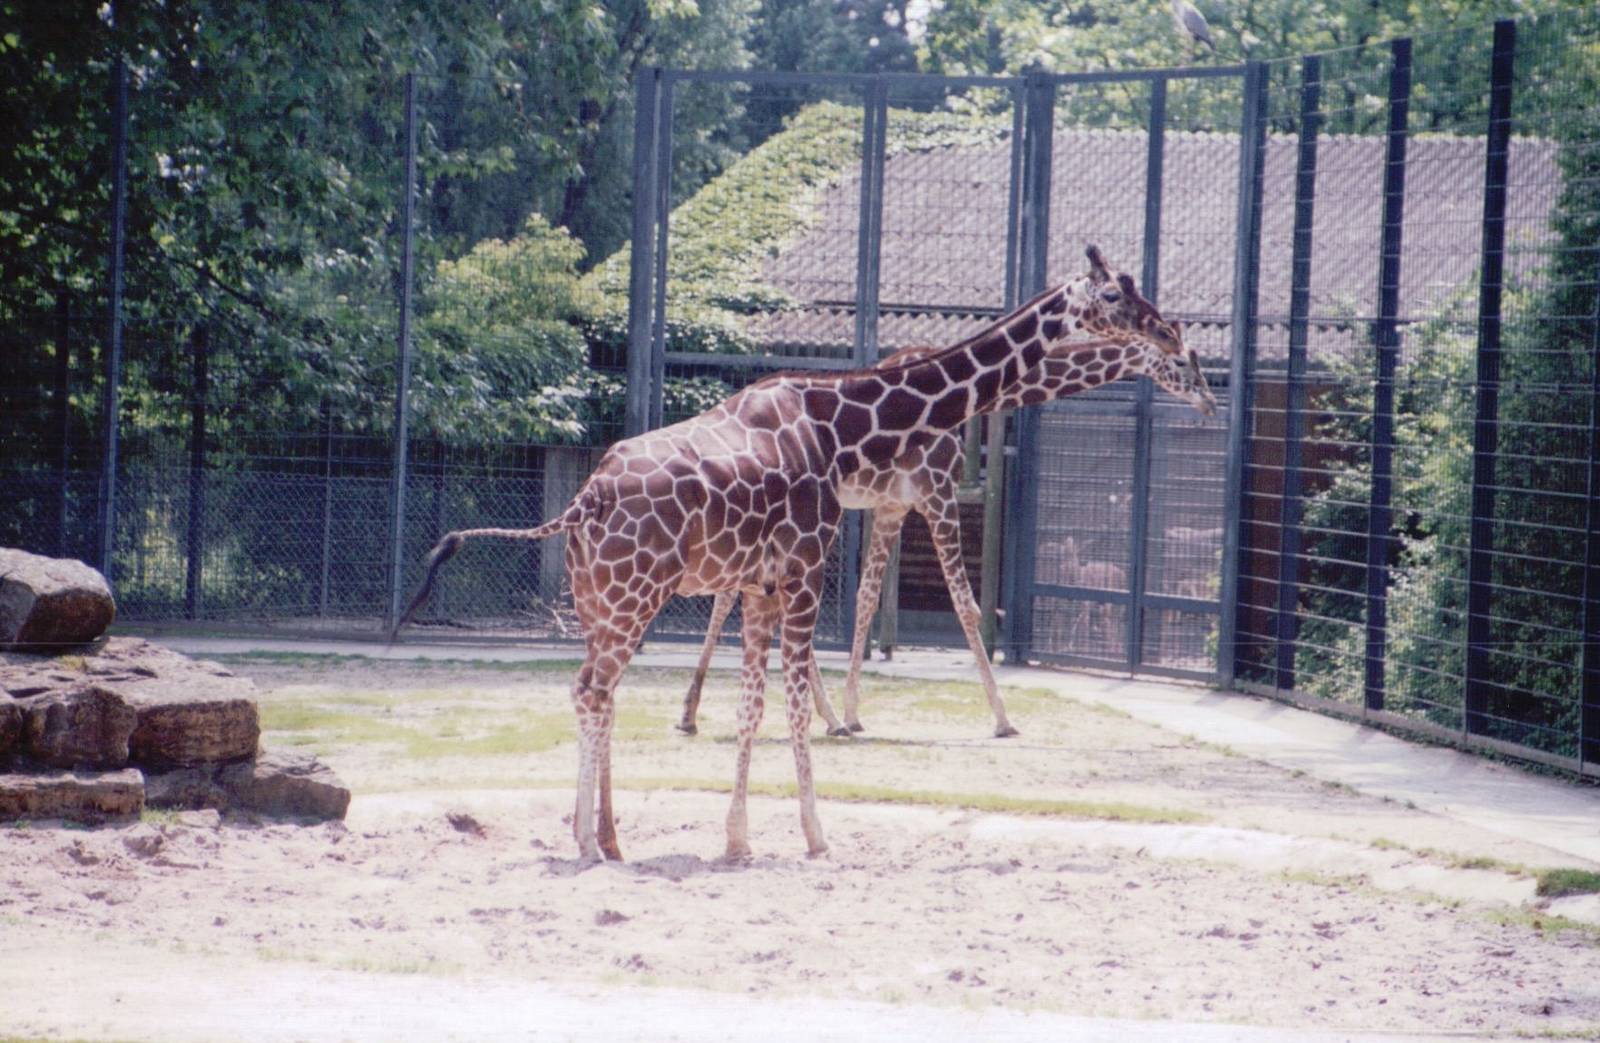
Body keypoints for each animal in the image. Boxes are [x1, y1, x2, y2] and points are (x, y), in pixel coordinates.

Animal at [395, 245, 1214, 862]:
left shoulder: (765, 579)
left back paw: (609, 836)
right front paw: (818, 833)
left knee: (595, 691)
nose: (1171, 335)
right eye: (1115, 294)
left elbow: (754, 705)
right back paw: (590, 843)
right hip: (634, 597)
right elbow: (799, 691)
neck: (839, 425)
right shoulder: (812, 562)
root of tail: (583, 499)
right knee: (594, 691)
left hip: (598, 599)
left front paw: (738, 837)